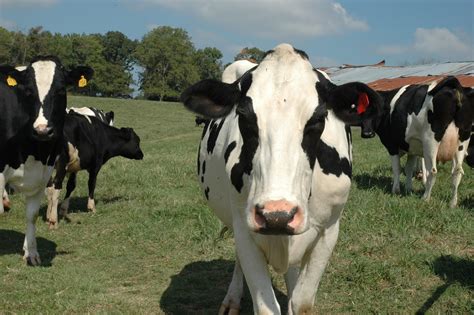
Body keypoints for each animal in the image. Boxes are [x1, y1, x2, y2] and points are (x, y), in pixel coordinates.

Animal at [0, 56, 93, 264]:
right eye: (28, 91)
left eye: (61, 90)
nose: (42, 130)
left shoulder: (43, 175)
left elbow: (32, 215)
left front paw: (31, 253)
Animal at [180, 43, 384, 314]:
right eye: (243, 116)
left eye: (318, 119)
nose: (277, 214)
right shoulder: (245, 229)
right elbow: (266, 306)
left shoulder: (329, 231)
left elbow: (301, 302)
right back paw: (232, 300)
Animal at [360, 78, 474, 209]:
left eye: (375, 110)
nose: (367, 133)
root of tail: (452, 88)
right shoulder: (412, 148)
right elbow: (409, 168)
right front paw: (408, 189)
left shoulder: (391, 146)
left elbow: (397, 168)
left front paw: (396, 190)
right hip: (462, 142)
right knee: (457, 172)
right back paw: (453, 203)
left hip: (431, 141)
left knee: (432, 171)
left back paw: (425, 198)